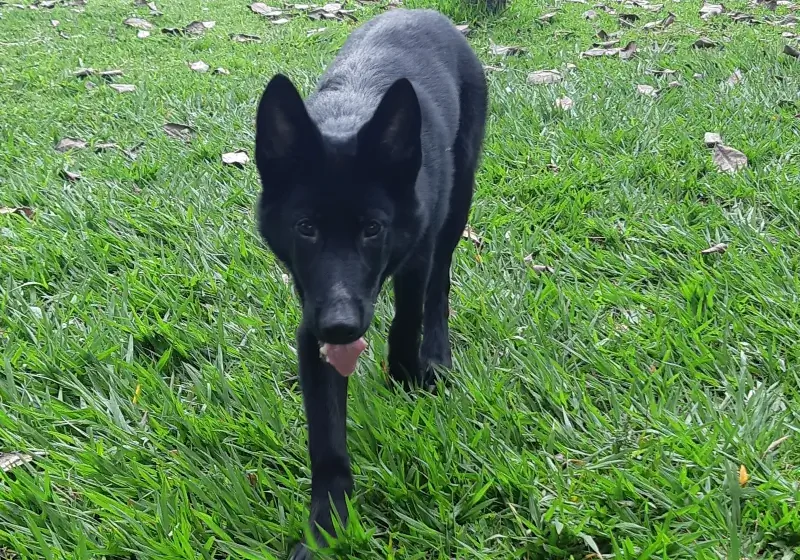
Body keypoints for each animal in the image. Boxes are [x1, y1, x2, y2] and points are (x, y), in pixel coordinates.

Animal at [253, 7, 488, 556]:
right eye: (306, 228)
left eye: (372, 229)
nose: (340, 327)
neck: (347, 119)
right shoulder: (311, 319)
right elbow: (326, 442)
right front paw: (324, 529)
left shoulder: (414, 256)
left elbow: (407, 321)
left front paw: (405, 379)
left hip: (458, 200)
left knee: (439, 288)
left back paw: (436, 356)